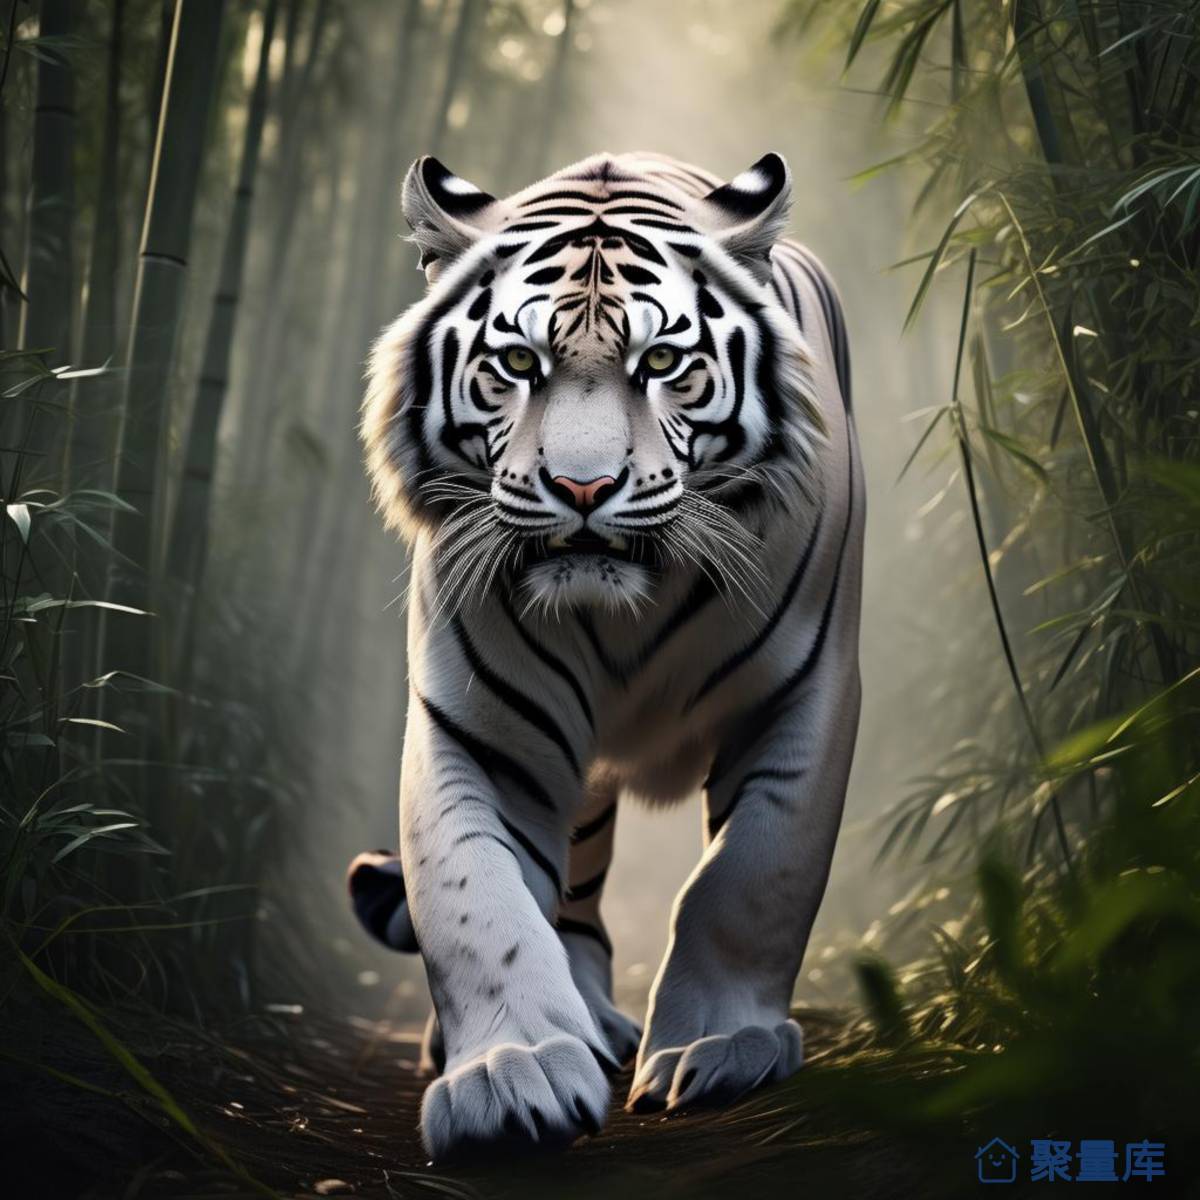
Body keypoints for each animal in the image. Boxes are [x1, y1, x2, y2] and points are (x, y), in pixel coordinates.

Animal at [349, 149, 863, 1162]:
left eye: (661, 362)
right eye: (518, 362)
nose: (581, 487)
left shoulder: (805, 693)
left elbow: (755, 873)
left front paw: (722, 1046)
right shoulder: (484, 727)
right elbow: (478, 900)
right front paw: (514, 1075)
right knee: (573, 899)